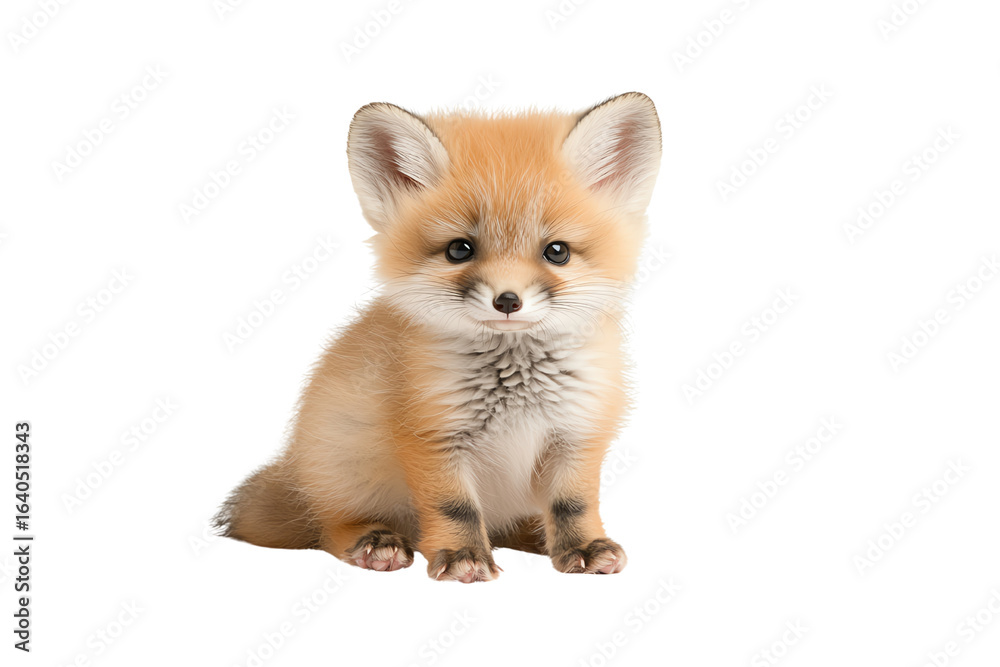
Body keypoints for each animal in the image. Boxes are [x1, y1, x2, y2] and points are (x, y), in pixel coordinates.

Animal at [215, 92, 662, 582]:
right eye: (459, 249)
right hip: (349, 474)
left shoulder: (577, 433)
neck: (517, 389)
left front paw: (582, 547)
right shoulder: (432, 435)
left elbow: (572, 505)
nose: (507, 300)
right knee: (328, 527)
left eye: (557, 252)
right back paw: (375, 541)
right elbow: (455, 508)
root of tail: (295, 469)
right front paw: (463, 556)